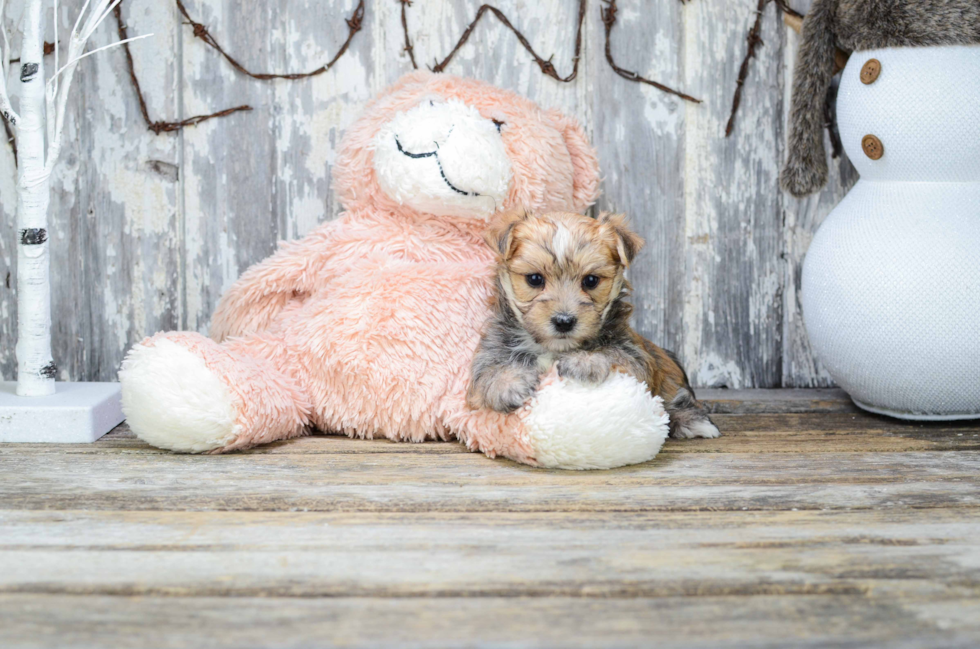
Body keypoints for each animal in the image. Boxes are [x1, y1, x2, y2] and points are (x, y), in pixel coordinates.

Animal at [468, 210, 720, 438]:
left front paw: (585, 361)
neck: (553, 349)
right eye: (535, 279)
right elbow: (485, 374)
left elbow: (615, 355)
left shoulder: (635, 355)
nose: (564, 321)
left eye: (590, 281)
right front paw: (508, 384)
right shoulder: (491, 351)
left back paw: (693, 422)